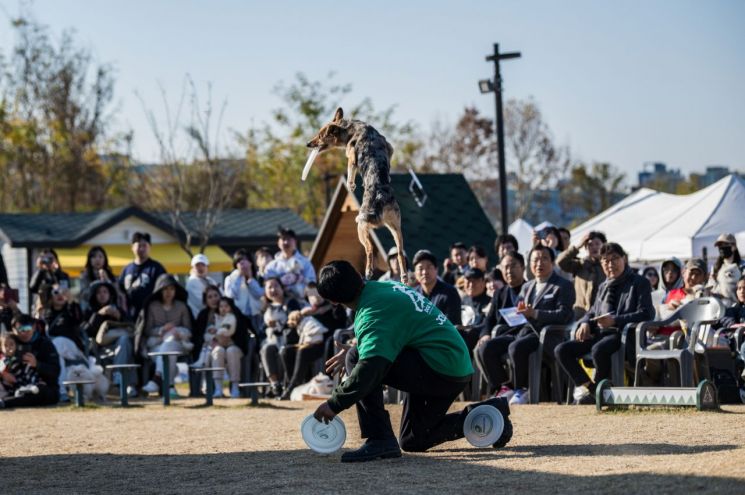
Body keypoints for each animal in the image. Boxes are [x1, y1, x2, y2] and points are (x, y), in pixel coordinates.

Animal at [308, 108, 406, 282]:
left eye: (320, 136)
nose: (308, 144)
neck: (349, 127)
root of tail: (379, 197)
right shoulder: (389, 147)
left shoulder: (351, 156)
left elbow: (350, 171)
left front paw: (350, 185)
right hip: (396, 228)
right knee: (400, 253)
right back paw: (404, 276)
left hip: (361, 225)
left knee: (369, 249)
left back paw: (368, 272)